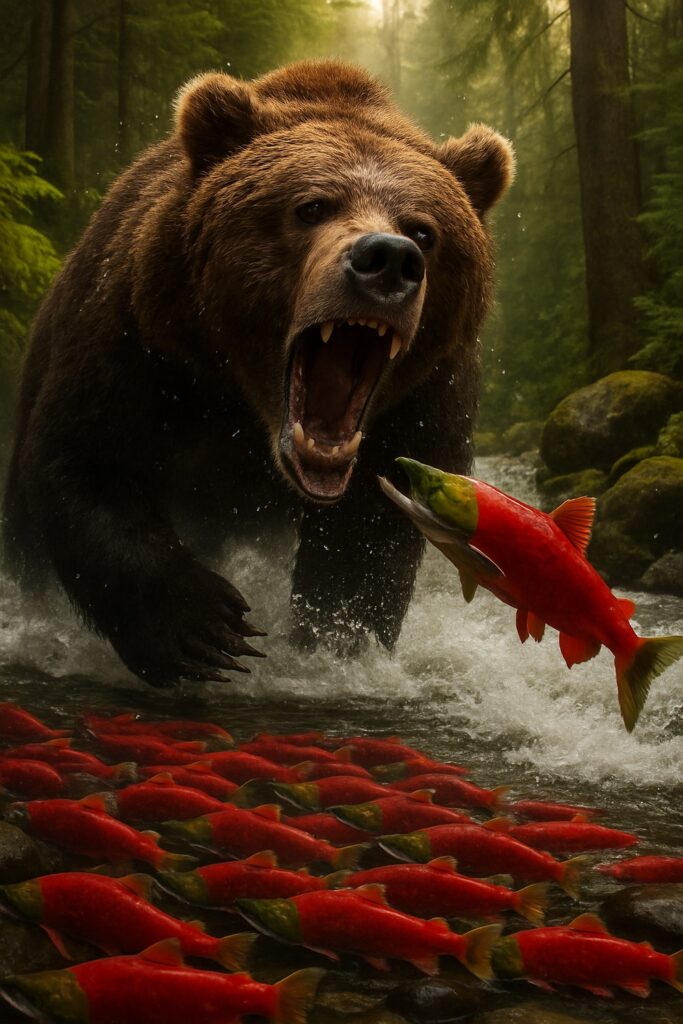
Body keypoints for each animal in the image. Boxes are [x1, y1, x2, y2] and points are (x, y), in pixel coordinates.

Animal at [2, 60, 514, 686]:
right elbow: (86, 459)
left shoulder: (422, 403)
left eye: (424, 230)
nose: (389, 258)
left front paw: (333, 642)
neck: (252, 410)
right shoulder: (141, 340)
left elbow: (367, 539)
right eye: (312, 206)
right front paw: (205, 627)